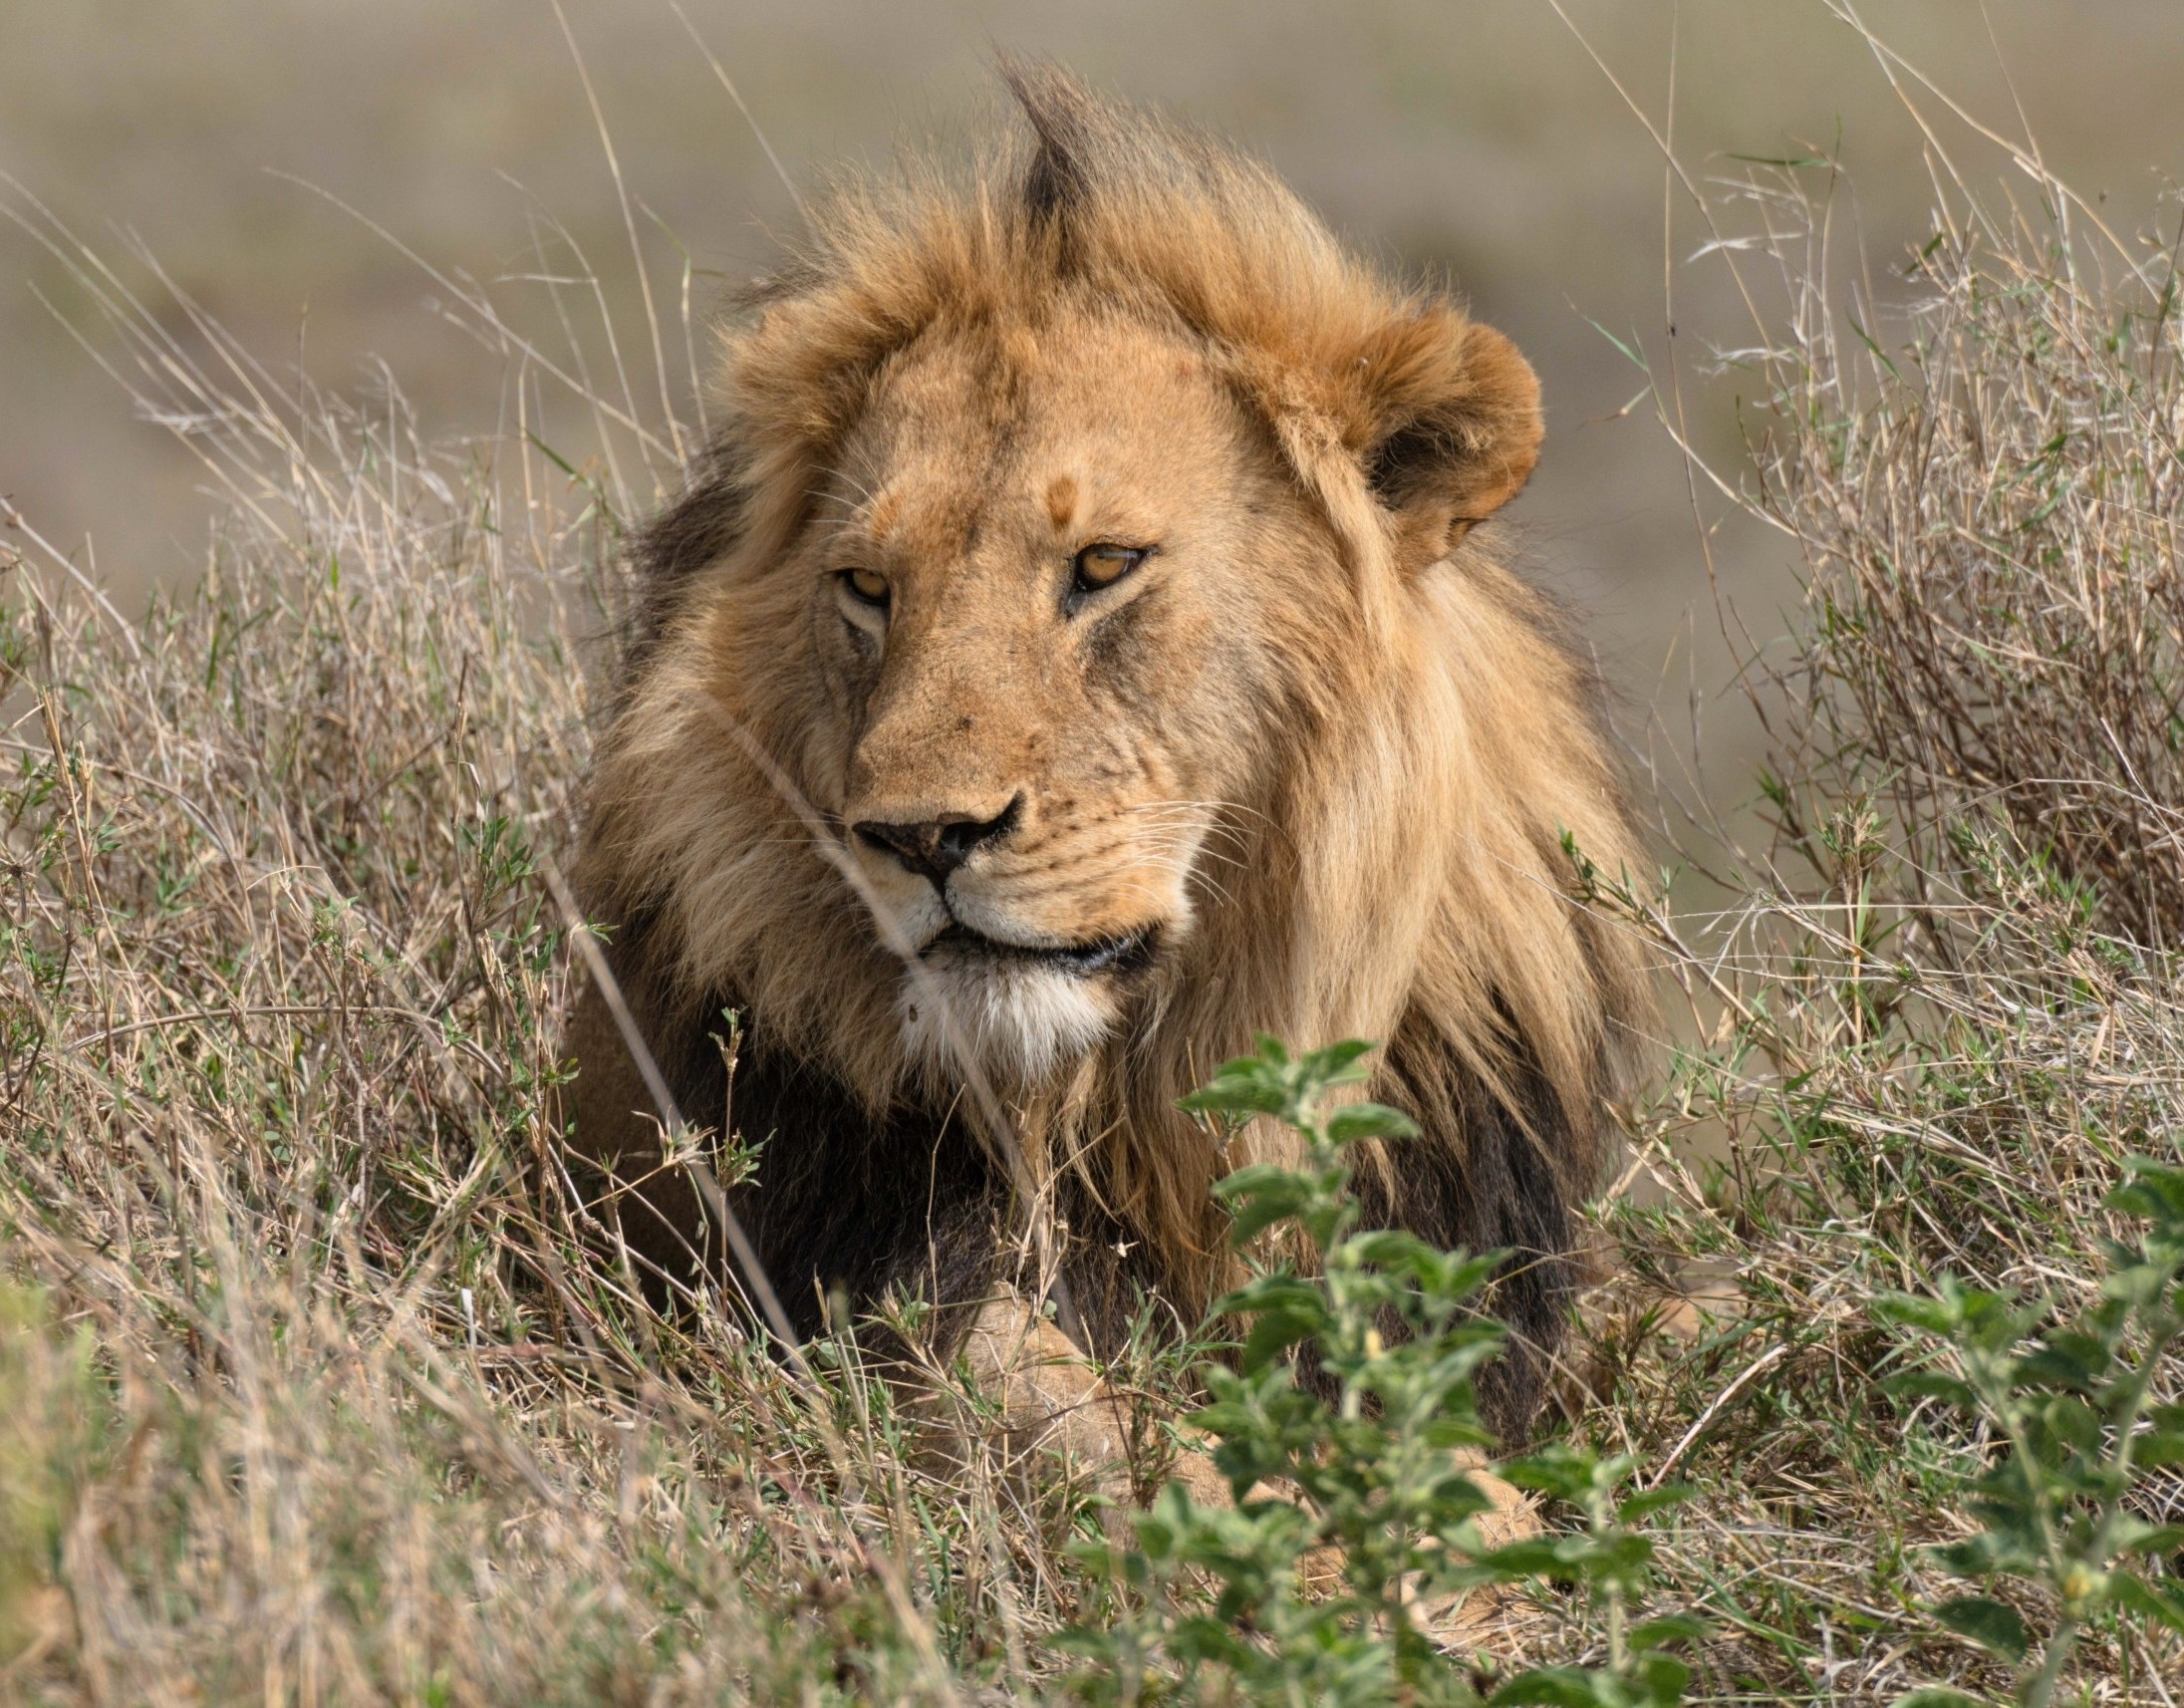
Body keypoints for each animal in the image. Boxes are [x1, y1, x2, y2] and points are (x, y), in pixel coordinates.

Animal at [562, 65, 1650, 1490]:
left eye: (1102, 566)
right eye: (865, 586)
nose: (920, 838)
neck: (1141, 1112)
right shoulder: (820, 1268)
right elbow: (1051, 1395)